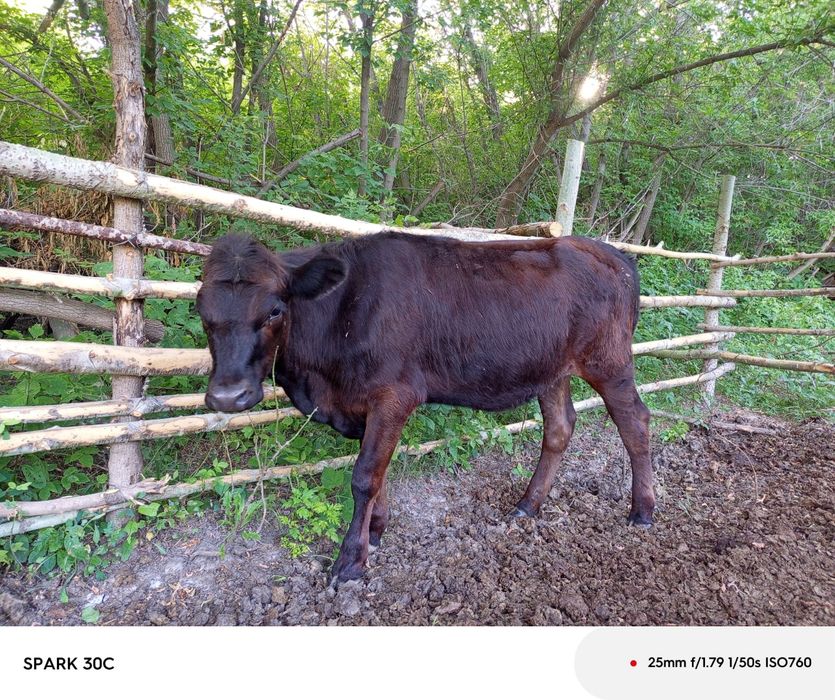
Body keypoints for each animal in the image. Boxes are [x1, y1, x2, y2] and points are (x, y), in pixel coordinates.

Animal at [196, 231, 654, 584]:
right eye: (201, 312)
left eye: (275, 309)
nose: (228, 397)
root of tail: (610, 252)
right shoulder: (363, 404)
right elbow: (376, 472)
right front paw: (376, 532)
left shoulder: (394, 394)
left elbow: (364, 476)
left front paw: (351, 561)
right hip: (552, 368)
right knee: (559, 427)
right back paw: (527, 505)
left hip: (609, 361)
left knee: (635, 422)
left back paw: (642, 511)